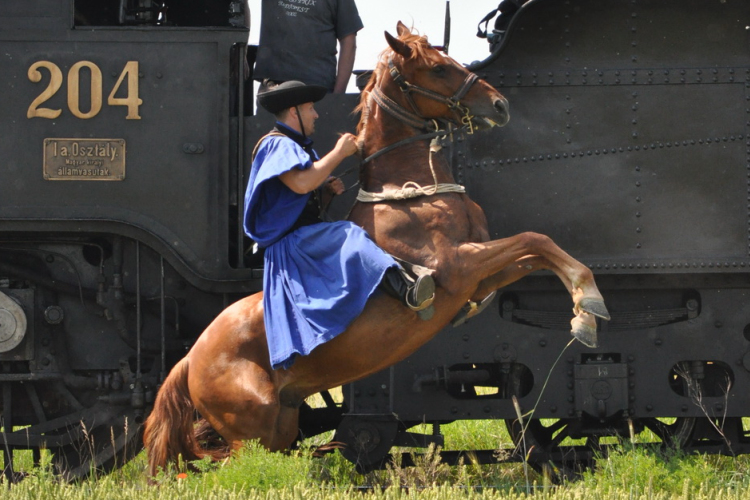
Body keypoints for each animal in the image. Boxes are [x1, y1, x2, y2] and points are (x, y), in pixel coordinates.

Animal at [142, 23, 612, 476]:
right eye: (438, 67)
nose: (499, 105)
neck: (410, 190)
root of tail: (190, 358)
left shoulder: (481, 274)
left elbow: (537, 251)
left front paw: (583, 313)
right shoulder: (460, 265)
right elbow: (535, 239)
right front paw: (590, 302)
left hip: (280, 422)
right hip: (254, 427)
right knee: (225, 463)